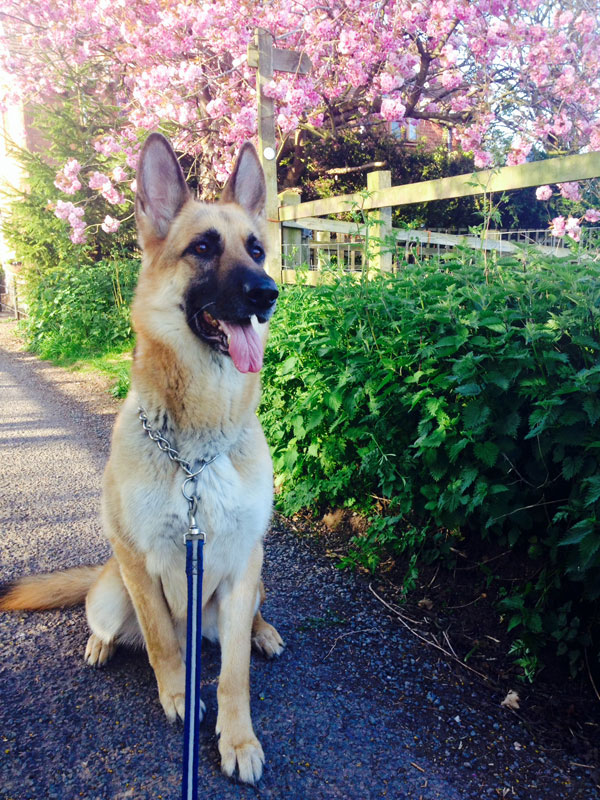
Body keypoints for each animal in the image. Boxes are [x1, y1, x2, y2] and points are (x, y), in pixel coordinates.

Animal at [0, 134, 286, 784]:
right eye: (203, 248)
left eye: (257, 250)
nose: (267, 293)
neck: (197, 450)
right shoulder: (136, 557)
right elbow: (160, 640)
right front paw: (179, 695)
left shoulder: (241, 562)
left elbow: (234, 673)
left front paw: (237, 738)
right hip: (111, 590)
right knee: (113, 620)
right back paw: (101, 643)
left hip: (249, 585)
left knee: (246, 623)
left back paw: (264, 632)